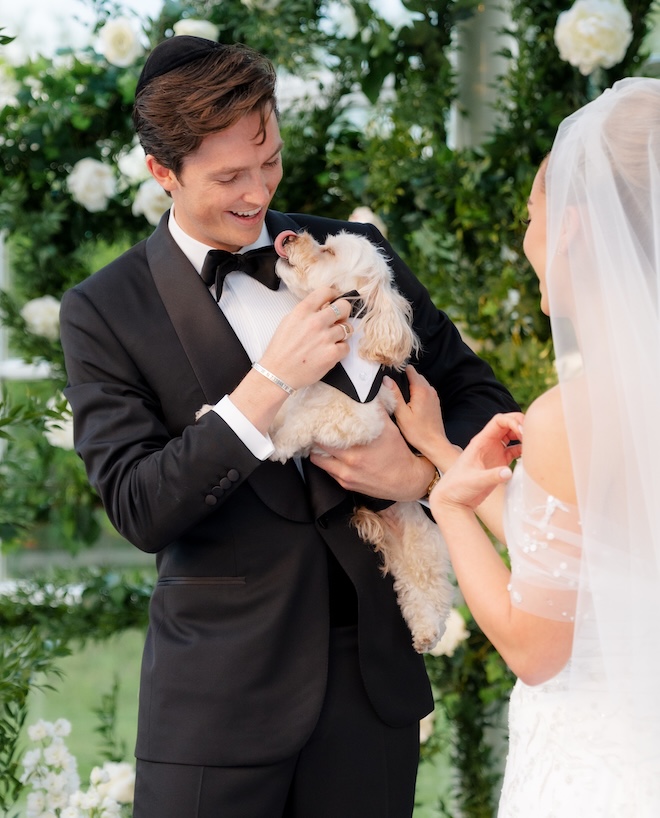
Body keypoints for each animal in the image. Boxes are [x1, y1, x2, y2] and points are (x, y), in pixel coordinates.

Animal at [199, 230, 452, 652]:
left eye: (328, 251)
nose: (289, 236)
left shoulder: (358, 418)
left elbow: (302, 423)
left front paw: (278, 446)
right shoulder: (303, 390)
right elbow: (279, 408)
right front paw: (217, 414)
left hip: (424, 541)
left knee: (430, 588)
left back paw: (428, 631)